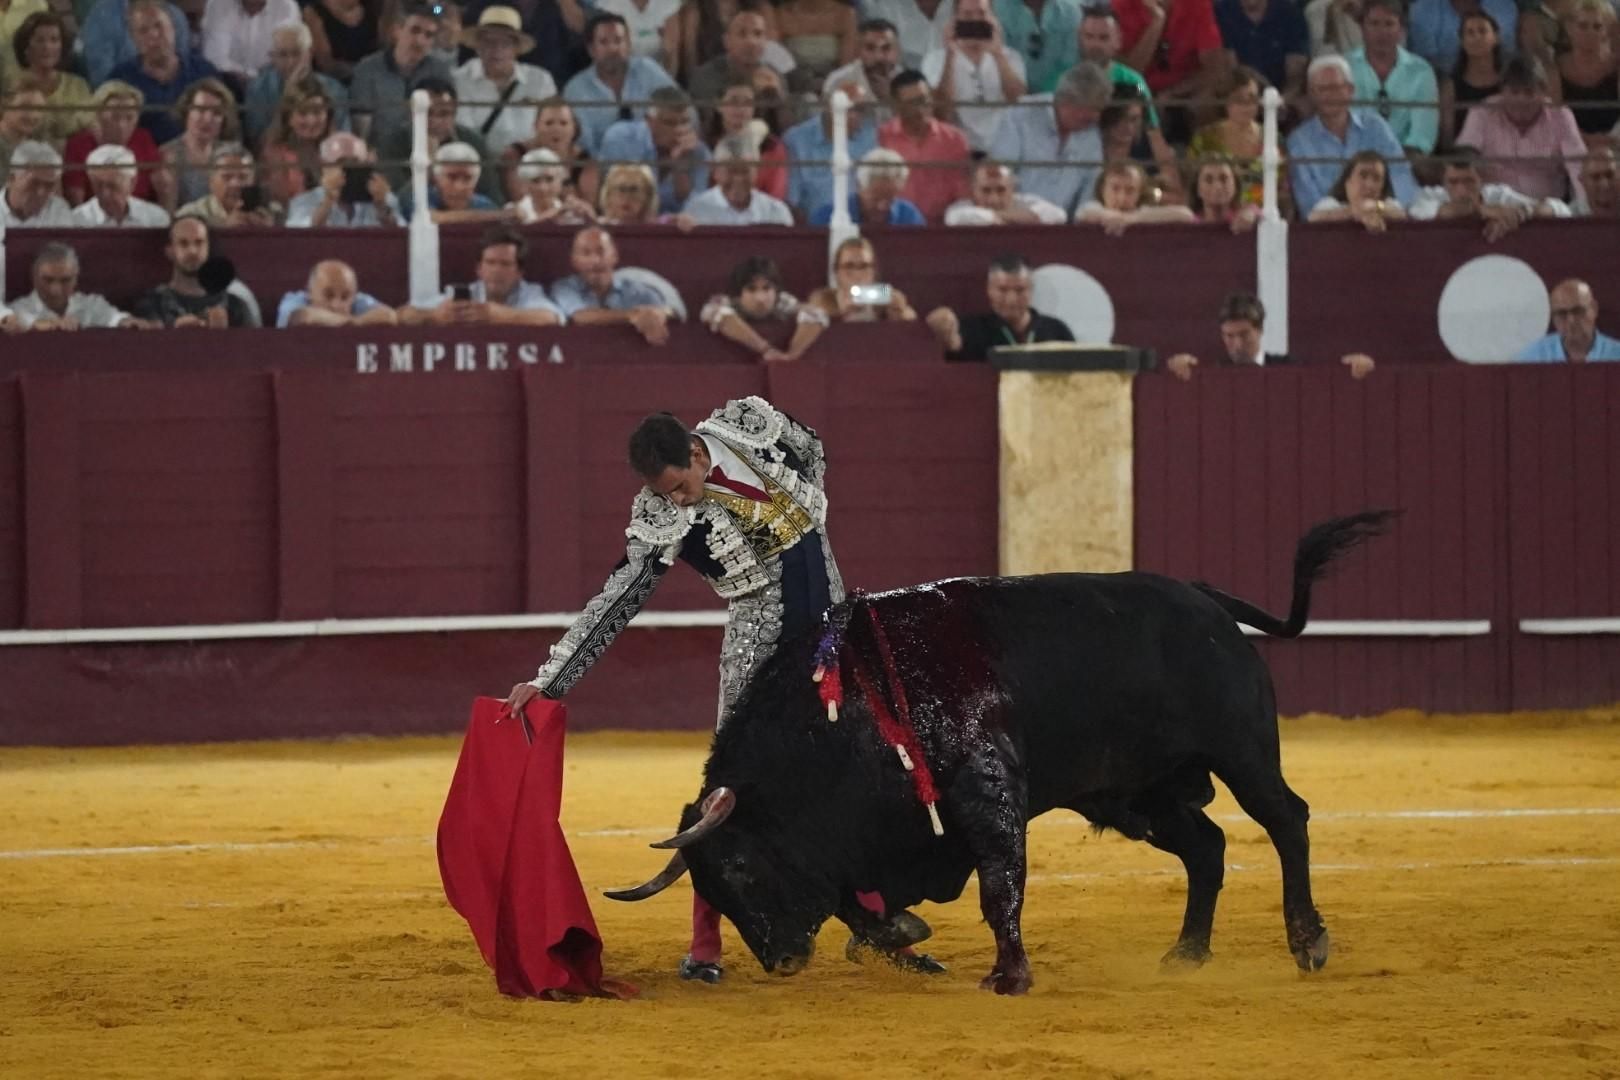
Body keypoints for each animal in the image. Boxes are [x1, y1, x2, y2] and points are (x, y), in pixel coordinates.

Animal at [609, 511, 1393, 990]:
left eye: (740, 865)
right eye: (710, 885)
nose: (780, 959)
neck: (850, 708)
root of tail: (1206, 600)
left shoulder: (984, 791)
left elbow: (998, 884)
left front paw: (1008, 976)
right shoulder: (879, 837)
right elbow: (857, 902)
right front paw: (902, 932)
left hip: (1241, 750)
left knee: (1286, 819)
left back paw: (1308, 941)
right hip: (1142, 793)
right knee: (1207, 846)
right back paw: (1186, 954)